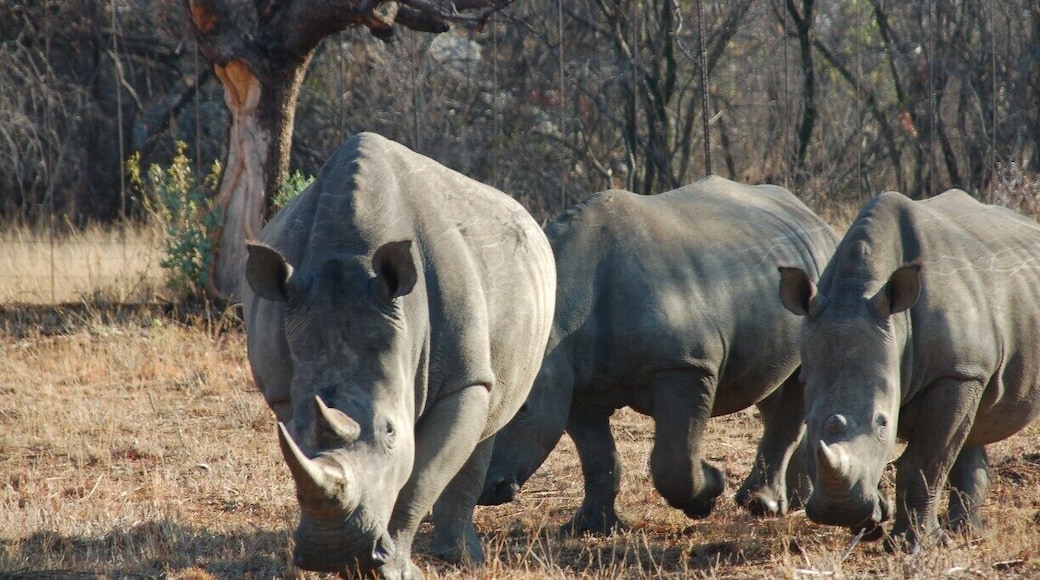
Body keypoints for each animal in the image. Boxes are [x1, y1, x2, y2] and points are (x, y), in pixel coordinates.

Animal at [242, 132, 555, 577]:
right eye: (297, 433)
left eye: (390, 431)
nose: (330, 552)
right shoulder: (284, 390)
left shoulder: (461, 379)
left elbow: (420, 479)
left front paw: (394, 568)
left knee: (489, 419)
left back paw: (461, 558)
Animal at [479, 176, 838, 534]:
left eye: (522, 410)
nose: (487, 491)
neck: (559, 317)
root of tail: (812, 216)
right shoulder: (576, 382)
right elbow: (599, 458)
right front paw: (591, 528)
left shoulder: (685, 366)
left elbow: (674, 460)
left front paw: (708, 491)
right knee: (771, 385)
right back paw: (793, 502)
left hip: (814, 290)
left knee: (798, 382)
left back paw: (761, 505)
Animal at [778, 190, 1040, 550]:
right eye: (810, 422)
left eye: (883, 425)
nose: (838, 512)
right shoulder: (960, 369)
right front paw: (872, 522)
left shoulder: (955, 372)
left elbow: (924, 463)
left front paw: (912, 546)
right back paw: (965, 534)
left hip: (967, 366)